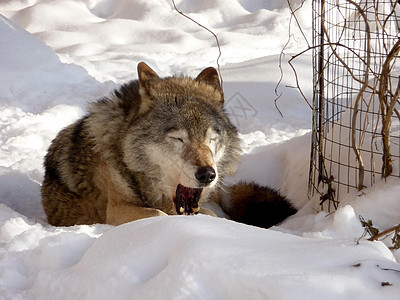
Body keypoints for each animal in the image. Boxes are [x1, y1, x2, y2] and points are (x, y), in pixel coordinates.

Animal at [41, 62, 296, 227]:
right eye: (178, 138)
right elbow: (158, 215)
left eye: (211, 138)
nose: (207, 174)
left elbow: (211, 215)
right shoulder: (116, 209)